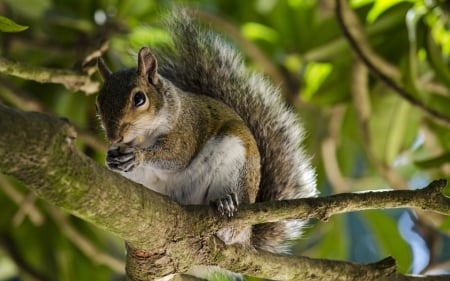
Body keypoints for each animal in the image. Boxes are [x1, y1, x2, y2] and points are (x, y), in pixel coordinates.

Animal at [96, 10, 318, 252]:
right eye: (98, 104)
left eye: (139, 98)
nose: (114, 137)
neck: (142, 136)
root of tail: (248, 238)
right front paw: (111, 158)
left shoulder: (188, 128)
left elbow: (177, 155)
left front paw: (138, 156)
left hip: (235, 166)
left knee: (231, 227)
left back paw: (226, 204)